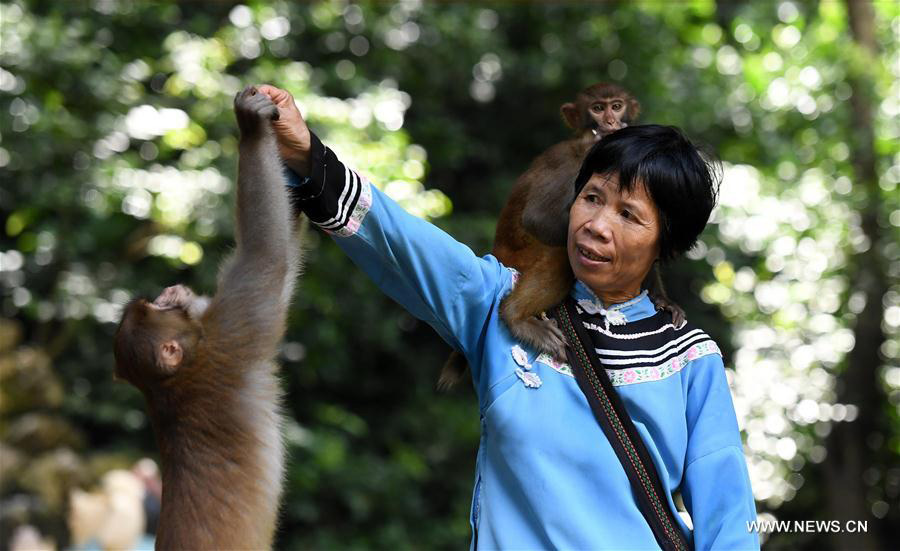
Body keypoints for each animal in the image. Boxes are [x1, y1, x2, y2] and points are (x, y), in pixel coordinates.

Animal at [113, 85, 300, 550]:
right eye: (159, 310)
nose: (171, 294)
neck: (173, 381)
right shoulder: (231, 335)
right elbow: (267, 256)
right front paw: (253, 127)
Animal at [439, 82, 683, 389]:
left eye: (616, 106)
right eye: (597, 109)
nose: (611, 122)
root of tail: (498, 251)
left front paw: (662, 298)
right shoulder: (571, 162)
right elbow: (538, 218)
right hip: (521, 258)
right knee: (561, 254)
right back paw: (516, 316)